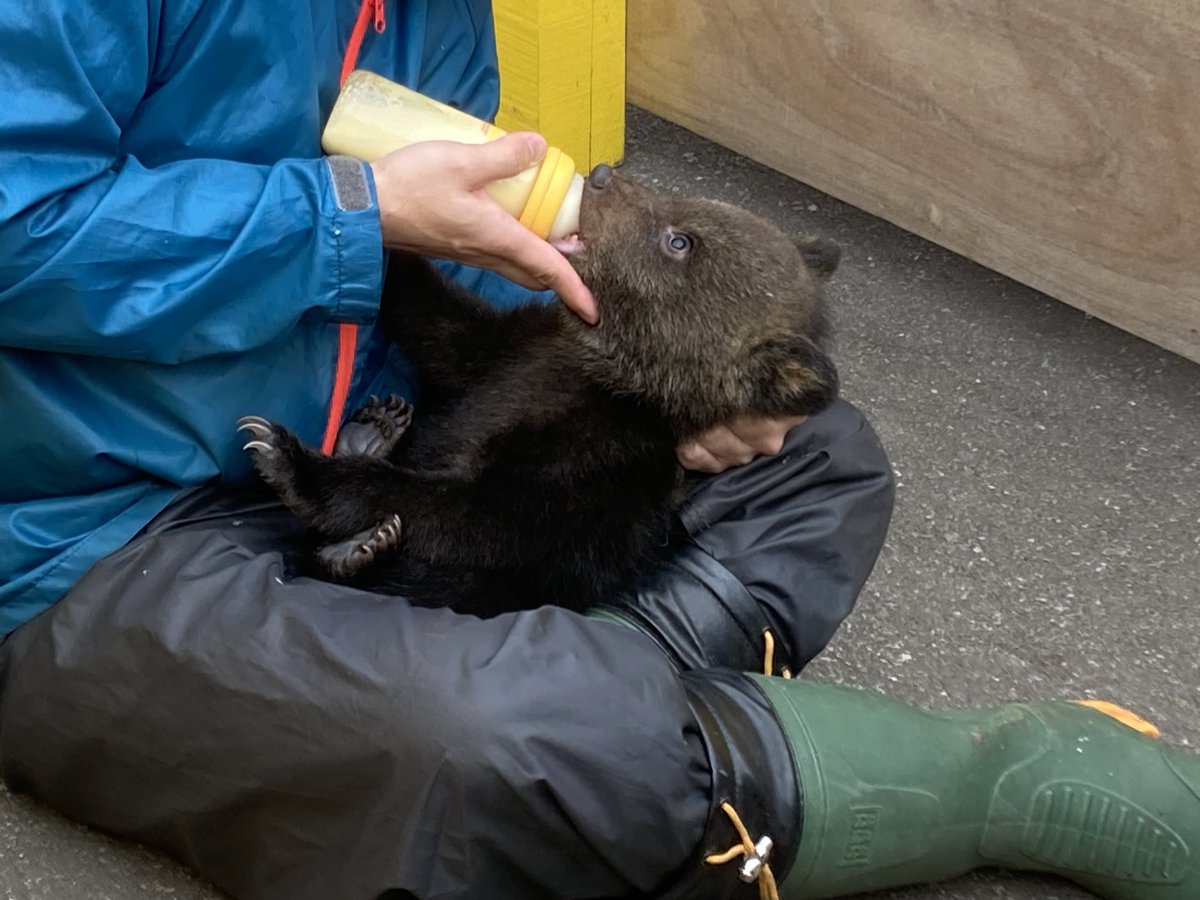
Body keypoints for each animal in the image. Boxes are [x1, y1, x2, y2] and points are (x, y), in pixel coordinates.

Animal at [236, 164, 841, 616]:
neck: (604, 372)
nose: (601, 175)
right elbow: (445, 325)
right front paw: (393, 228)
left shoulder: (601, 465)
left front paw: (292, 461)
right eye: (681, 208)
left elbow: (486, 517)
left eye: (680, 240)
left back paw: (359, 542)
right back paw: (373, 437)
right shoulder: (519, 348)